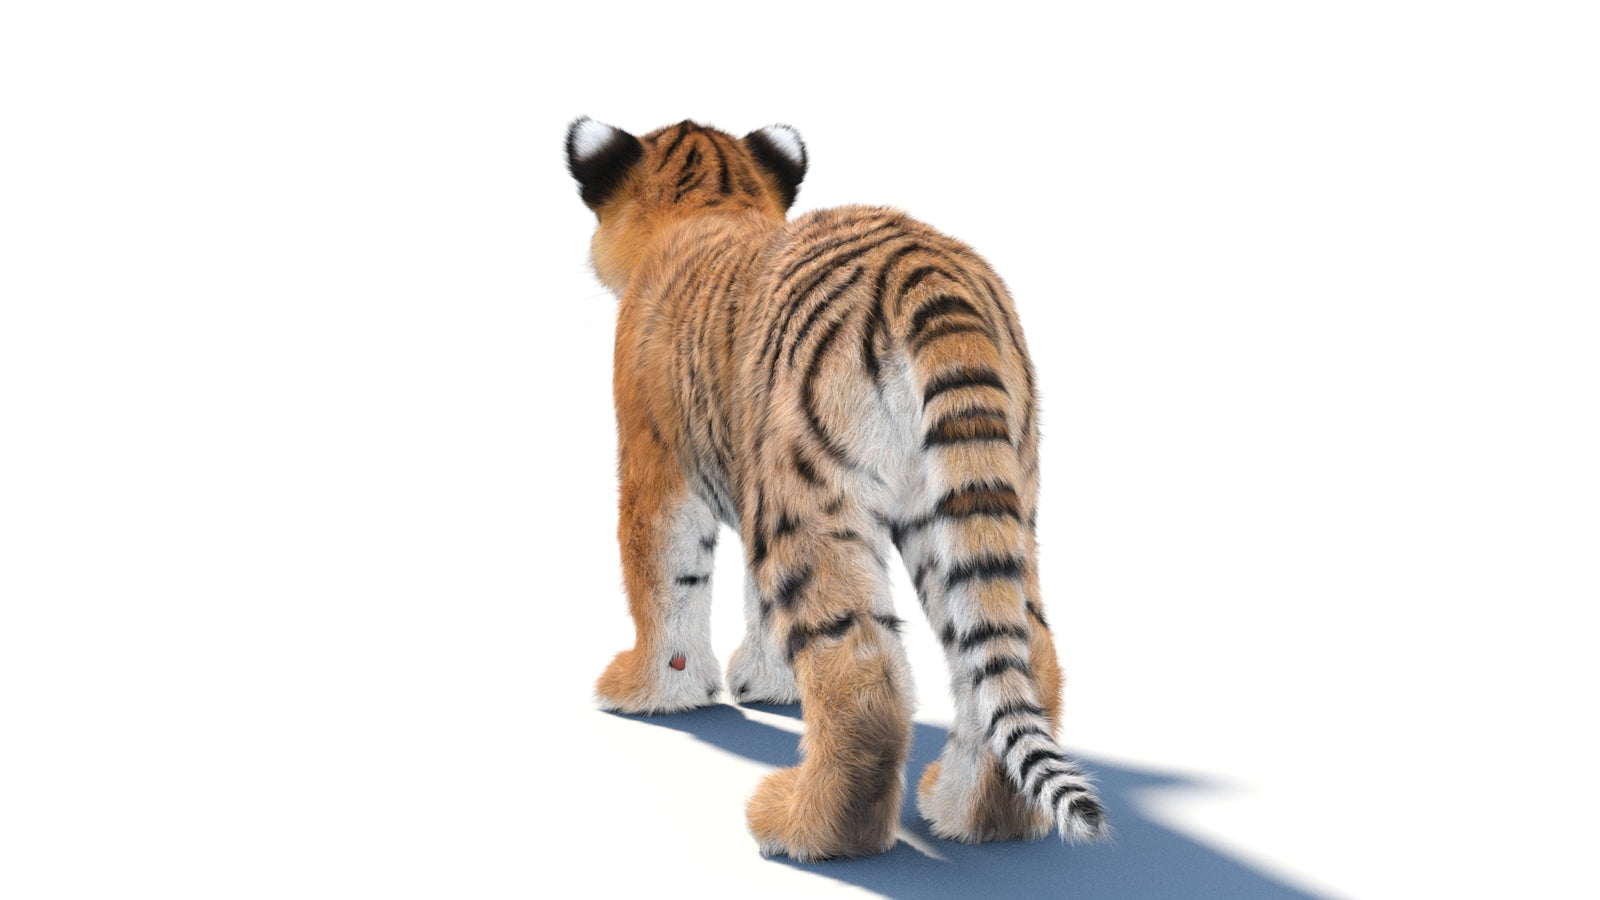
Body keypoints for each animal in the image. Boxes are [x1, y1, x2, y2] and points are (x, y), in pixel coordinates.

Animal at [565, 116, 1106, 860]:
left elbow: (664, 582)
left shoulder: (659, 468)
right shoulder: (756, 482)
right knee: (1022, 655)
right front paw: (768, 685)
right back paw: (973, 816)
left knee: (863, 673)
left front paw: (650, 691)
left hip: (814, 500)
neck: (710, 200)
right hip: (974, 499)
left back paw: (801, 828)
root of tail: (923, 267)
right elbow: (755, 603)